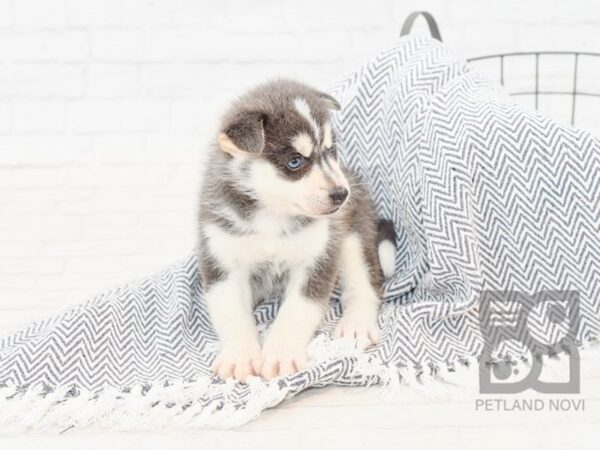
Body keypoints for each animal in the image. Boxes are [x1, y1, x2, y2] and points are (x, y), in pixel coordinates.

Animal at [197, 79, 394, 382]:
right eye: (295, 162)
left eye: (330, 152)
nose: (342, 194)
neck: (272, 216)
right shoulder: (222, 262)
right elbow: (231, 313)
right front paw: (240, 356)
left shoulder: (317, 260)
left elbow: (296, 312)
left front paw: (281, 353)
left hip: (352, 238)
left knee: (365, 282)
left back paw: (357, 323)